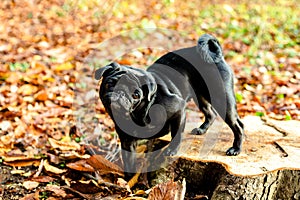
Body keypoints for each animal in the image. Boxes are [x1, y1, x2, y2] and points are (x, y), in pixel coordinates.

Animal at [95, 33, 244, 179]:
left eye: (136, 95)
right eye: (109, 84)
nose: (120, 93)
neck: (137, 114)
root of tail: (216, 56)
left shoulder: (179, 109)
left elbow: (176, 134)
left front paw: (171, 150)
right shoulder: (127, 142)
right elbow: (128, 162)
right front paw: (128, 181)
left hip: (222, 100)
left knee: (238, 125)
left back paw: (235, 149)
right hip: (201, 98)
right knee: (210, 113)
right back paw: (202, 129)